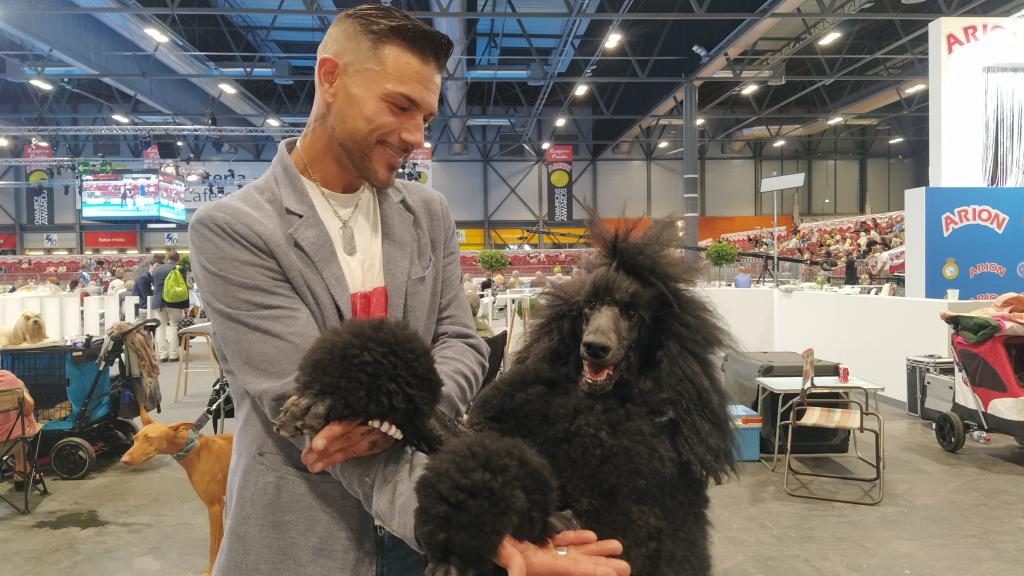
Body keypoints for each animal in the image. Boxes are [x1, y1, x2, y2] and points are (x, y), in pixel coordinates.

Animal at [120, 403, 233, 573]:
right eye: (135, 439)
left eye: (149, 438)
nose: (123, 460)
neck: (195, 449)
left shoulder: (215, 506)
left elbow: (214, 546)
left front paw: (210, 571)